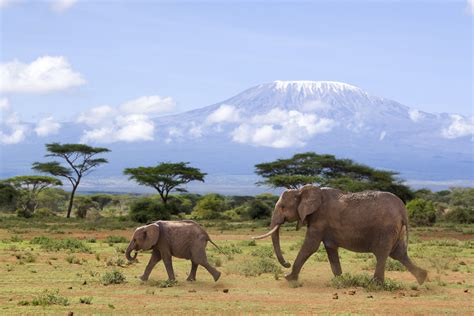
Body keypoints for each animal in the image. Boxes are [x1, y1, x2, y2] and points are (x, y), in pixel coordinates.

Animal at [254, 184, 428, 286]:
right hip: (396, 229)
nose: (286, 263)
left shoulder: (320, 219)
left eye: (283, 207)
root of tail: (403, 209)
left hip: (386, 229)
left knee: (382, 254)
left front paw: (288, 277)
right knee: (399, 253)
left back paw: (374, 284)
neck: (303, 190)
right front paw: (339, 280)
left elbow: (310, 246)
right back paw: (422, 278)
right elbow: (330, 248)